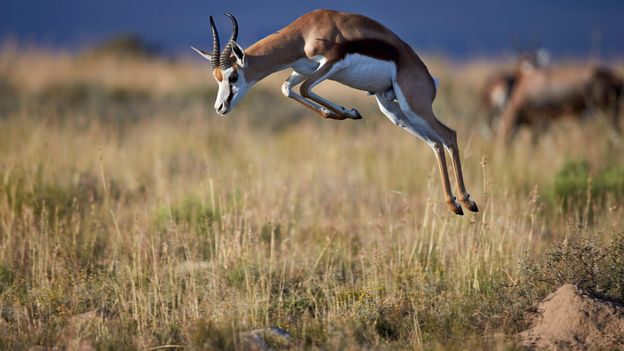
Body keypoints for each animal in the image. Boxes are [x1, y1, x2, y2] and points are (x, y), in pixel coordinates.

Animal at [193, 8, 480, 214]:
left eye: (232, 76)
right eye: (217, 78)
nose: (220, 107)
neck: (305, 32)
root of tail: (430, 79)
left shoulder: (330, 63)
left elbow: (305, 89)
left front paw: (348, 112)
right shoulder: (303, 69)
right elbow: (287, 89)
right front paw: (344, 112)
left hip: (415, 106)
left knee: (449, 134)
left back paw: (467, 202)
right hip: (394, 111)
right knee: (435, 143)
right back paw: (454, 204)